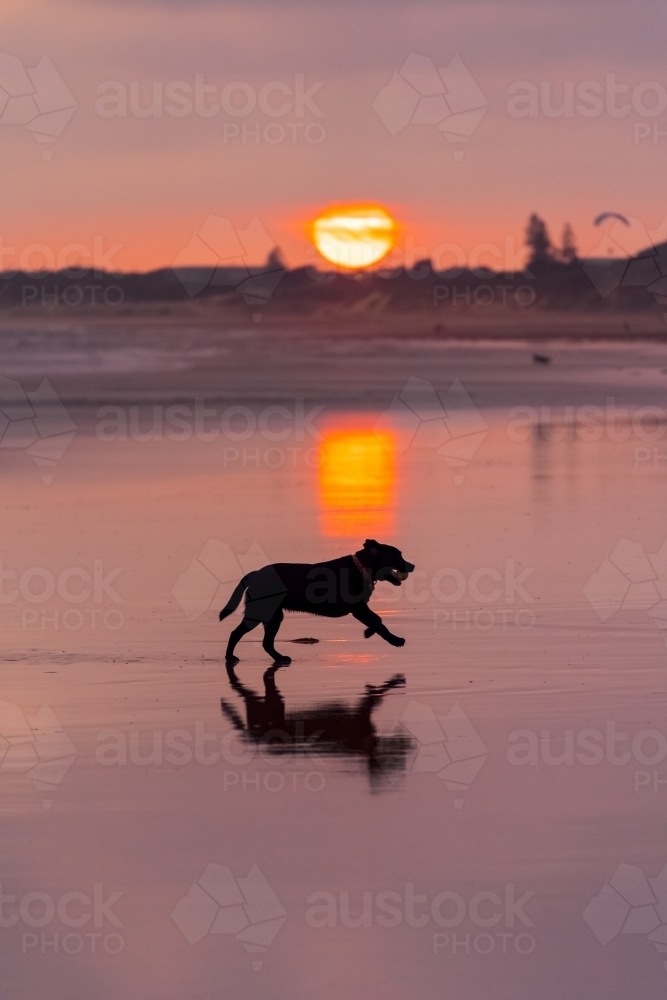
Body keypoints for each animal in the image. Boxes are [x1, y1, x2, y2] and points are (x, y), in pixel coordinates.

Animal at [222, 540, 414, 664]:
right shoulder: (358, 608)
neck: (362, 568)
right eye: (397, 556)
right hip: (261, 612)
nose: (412, 566)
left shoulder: (360, 608)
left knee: (266, 642)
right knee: (236, 633)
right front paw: (394, 640)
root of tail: (255, 574)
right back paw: (230, 657)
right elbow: (378, 622)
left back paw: (280, 658)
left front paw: (371, 633)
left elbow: (377, 620)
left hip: (273, 615)